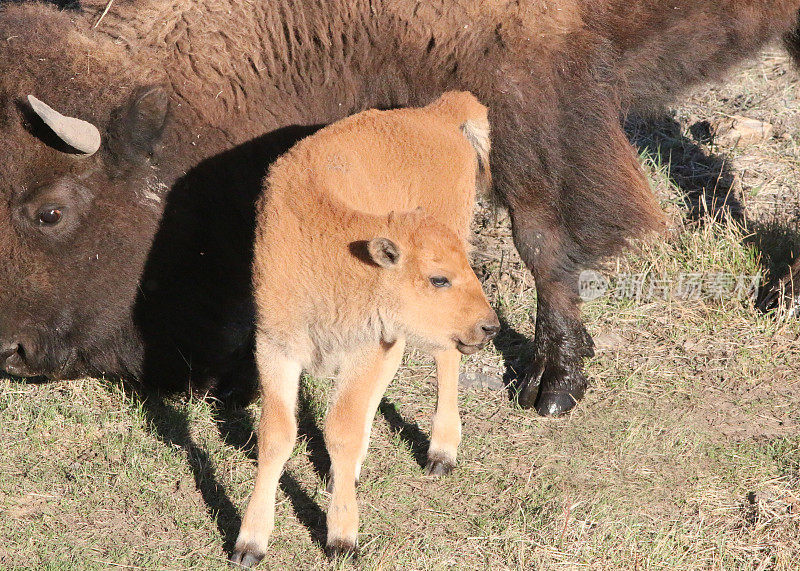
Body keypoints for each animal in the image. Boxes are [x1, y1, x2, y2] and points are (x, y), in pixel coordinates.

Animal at [228, 91, 496, 564]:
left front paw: (342, 539)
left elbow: (341, 430)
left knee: (445, 357)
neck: (336, 257)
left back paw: (441, 454)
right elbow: (276, 435)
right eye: (439, 278)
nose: (491, 327)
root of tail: (442, 113)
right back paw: (348, 475)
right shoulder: (276, 348)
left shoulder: (362, 349)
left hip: (440, 329)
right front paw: (250, 543)